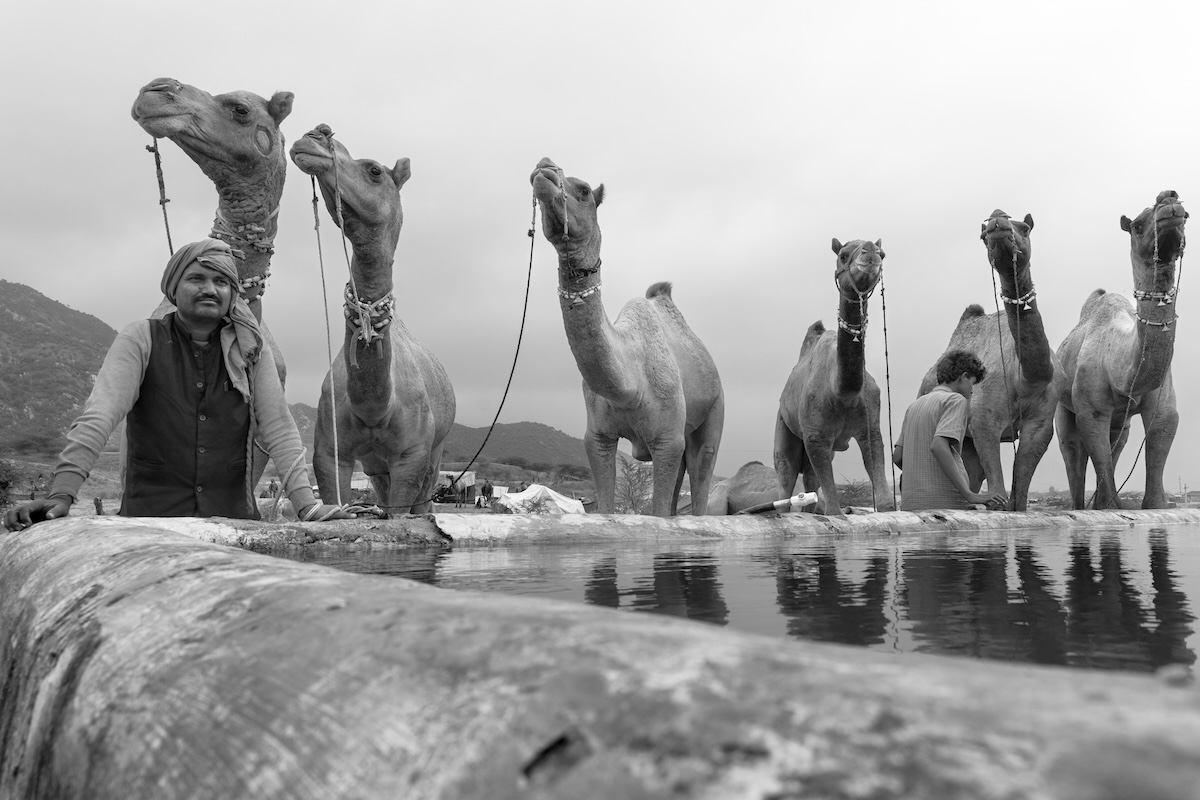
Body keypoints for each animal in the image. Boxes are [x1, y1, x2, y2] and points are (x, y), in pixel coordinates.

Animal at [290, 125, 455, 515]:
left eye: (374, 170)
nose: (315, 134)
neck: (375, 408)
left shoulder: (412, 456)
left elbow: (401, 511)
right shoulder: (329, 449)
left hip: (435, 454)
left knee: (424, 500)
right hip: (376, 466)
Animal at [530, 158, 724, 517]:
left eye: (584, 190)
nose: (544, 167)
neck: (630, 383)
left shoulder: (667, 438)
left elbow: (659, 511)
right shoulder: (597, 437)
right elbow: (607, 506)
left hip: (714, 409)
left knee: (701, 468)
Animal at [775, 239, 894, 516]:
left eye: (883, 254)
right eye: (843, 255)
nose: (871, 252)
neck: (842, 391)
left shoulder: (871, 428)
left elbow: (884, 500)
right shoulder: (815, 436)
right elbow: (833, 511)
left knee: (809, 479)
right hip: (784, 424)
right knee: (786, 473)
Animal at [915, 210, 1060, 510]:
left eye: (1025, 228)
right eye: (983, 236)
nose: (997, 219)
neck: (1025, 378)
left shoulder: (1041, 424)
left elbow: (1020, 497)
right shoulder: (984, 419)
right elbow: (999, 496)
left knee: (971, 471)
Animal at [1055, 190, 1187, 509]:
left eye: (1186, 216)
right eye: (1137, 225)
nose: (1169, 198)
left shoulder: (1164, 408)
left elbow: (1154, 495)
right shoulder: (1091, 411)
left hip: (1121, 422)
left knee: (1116, 444)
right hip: (1063, 408)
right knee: (1072, 449)